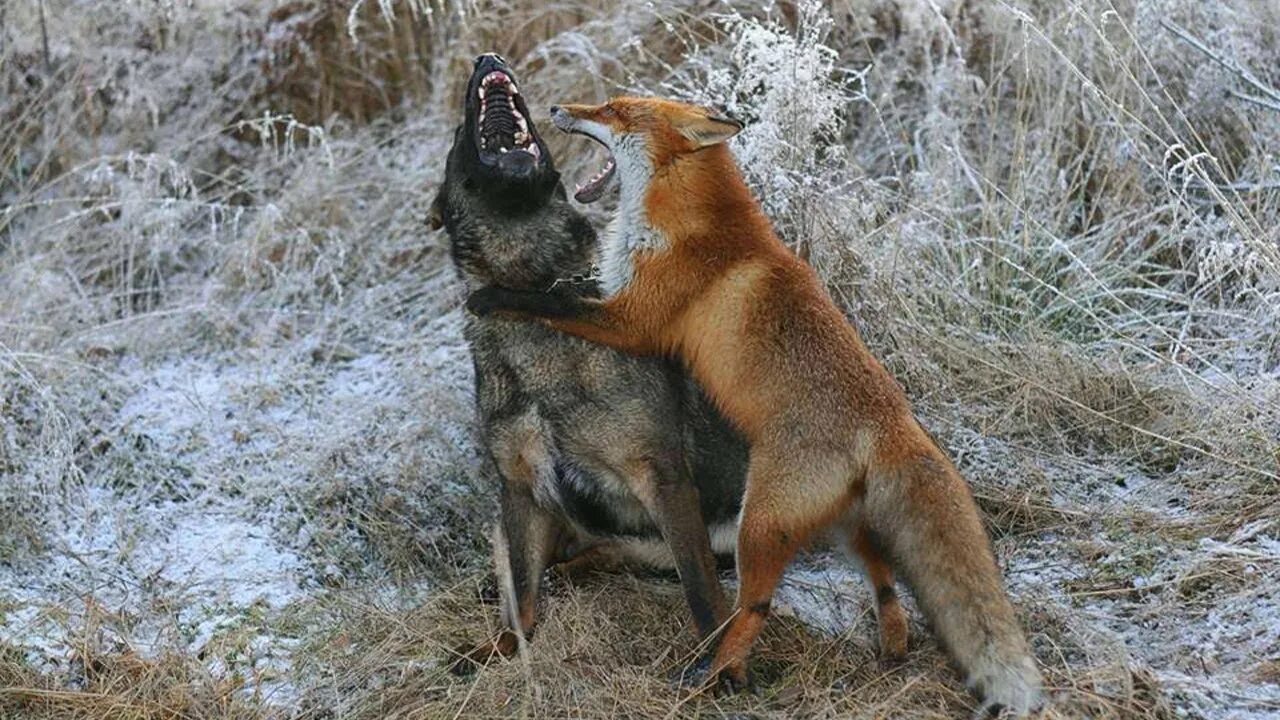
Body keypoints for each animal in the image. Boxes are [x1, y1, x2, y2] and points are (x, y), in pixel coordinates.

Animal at [465, 95, 1044, 712]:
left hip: (758, 527)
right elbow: (560, 297)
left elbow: (545, 303)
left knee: (752, 607)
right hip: (835, 522)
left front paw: (493, 295)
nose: (557, 106)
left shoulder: (632, 321)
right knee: (881, 570)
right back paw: (891, 643)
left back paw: (714, 673)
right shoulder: (621, 306)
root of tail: (895, 420)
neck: (683, 222)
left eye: (616, 109)